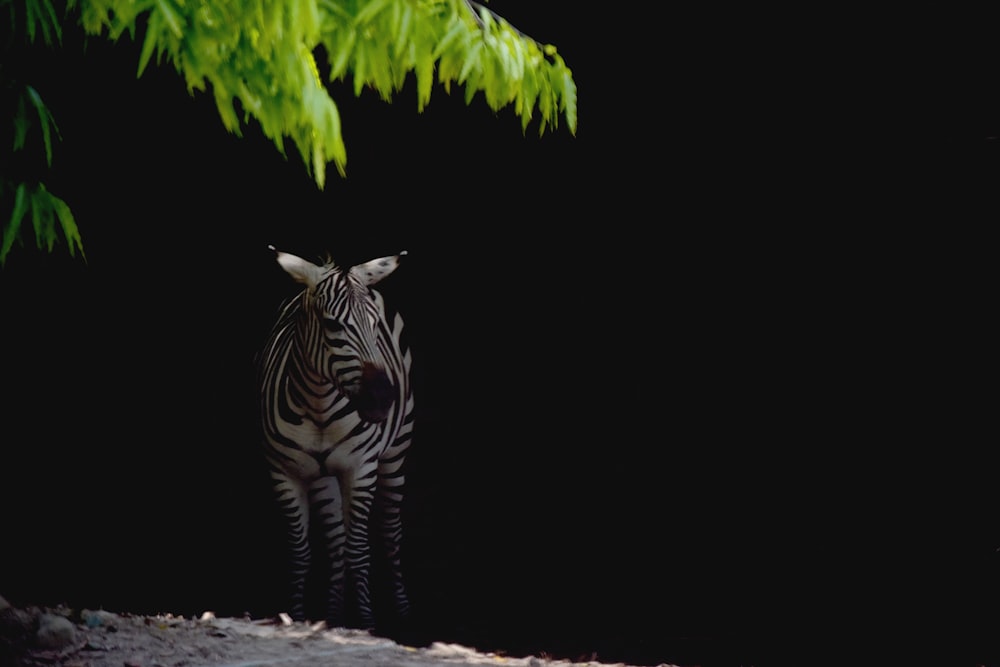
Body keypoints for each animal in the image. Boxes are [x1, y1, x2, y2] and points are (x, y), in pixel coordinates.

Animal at [260, 247, 416, 632]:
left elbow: (359, 550)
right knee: (335, 542)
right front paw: (297, 616)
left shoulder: (361, 469)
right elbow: (302, 552)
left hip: (396, 452)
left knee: (389, 532)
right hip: (322, 476)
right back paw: (332, 616)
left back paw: (402, 614)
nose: (383, 399)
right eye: (332, 325)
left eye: (375, 326)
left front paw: (367, 624)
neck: (319, 404)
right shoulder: (284, 474)